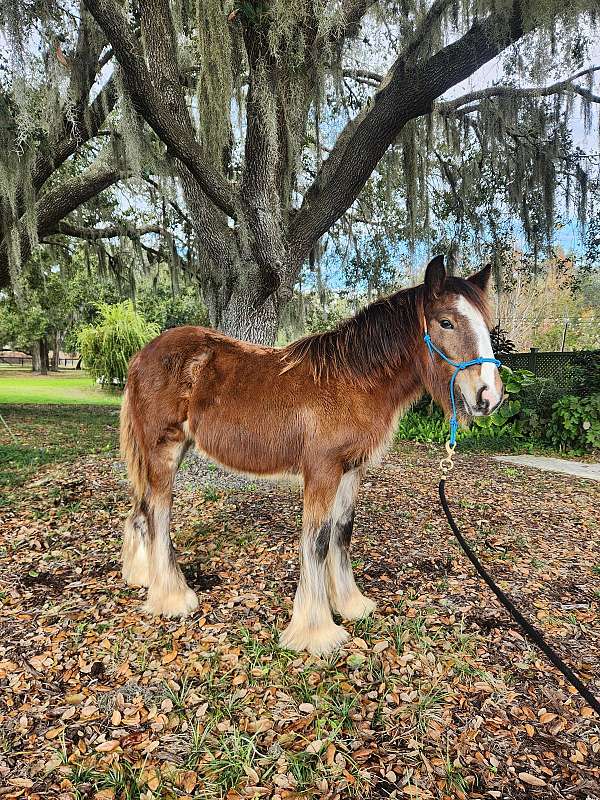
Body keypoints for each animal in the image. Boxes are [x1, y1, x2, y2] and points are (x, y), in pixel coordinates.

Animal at [119, 255, 503, 655]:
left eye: (488, 325)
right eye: (446, 322)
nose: (489, 396)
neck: (353, 380)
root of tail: (141, 356)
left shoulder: (351, 470)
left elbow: (342, 533)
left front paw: (350, 604)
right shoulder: (322, 471)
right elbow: (317, 541)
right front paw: (316, 631)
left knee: (141, 510)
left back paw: (143, 577)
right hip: (163, 449)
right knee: (158, 513)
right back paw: (173, 597)